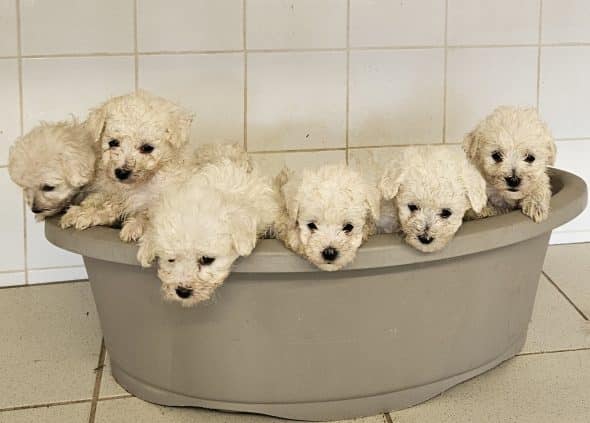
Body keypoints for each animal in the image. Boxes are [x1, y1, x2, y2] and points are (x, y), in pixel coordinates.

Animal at [58, 90, 192, 242]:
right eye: (113, 143)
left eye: (147, 148)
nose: (121, 173)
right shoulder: (115, 195)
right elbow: (106, 205)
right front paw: (80, 213)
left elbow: (146, 213)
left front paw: (133, 227)